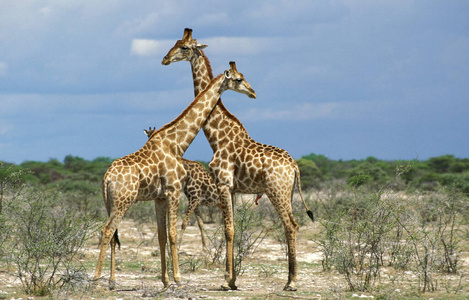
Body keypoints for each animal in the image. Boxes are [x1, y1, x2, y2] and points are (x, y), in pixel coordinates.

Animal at [93, 61, 256, 290]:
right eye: (239, 79)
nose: (252, 92)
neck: (177, 144)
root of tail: (106, 177)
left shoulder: (160, 197)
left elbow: (161, 235)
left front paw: (165, 280)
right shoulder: (174, 190)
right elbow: (172, 233)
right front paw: (178, 278)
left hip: (110, 202)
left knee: (114, 234)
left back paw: (112, 280)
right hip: (122, 201)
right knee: (107, 231)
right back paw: (97, 277)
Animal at [162, 27, 314, 290]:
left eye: (184, 47)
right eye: (175, 43)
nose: (165, 59)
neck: (216, 136)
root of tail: (294, 166)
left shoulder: (223, 183)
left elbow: (229, 230)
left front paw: (226, 281)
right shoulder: (231, 188)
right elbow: (230, 229)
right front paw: (232, 279)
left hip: (277, 191)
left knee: (291, 225)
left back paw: (292, 282)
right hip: (288, 192)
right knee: (292, 225)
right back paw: (290, 279)